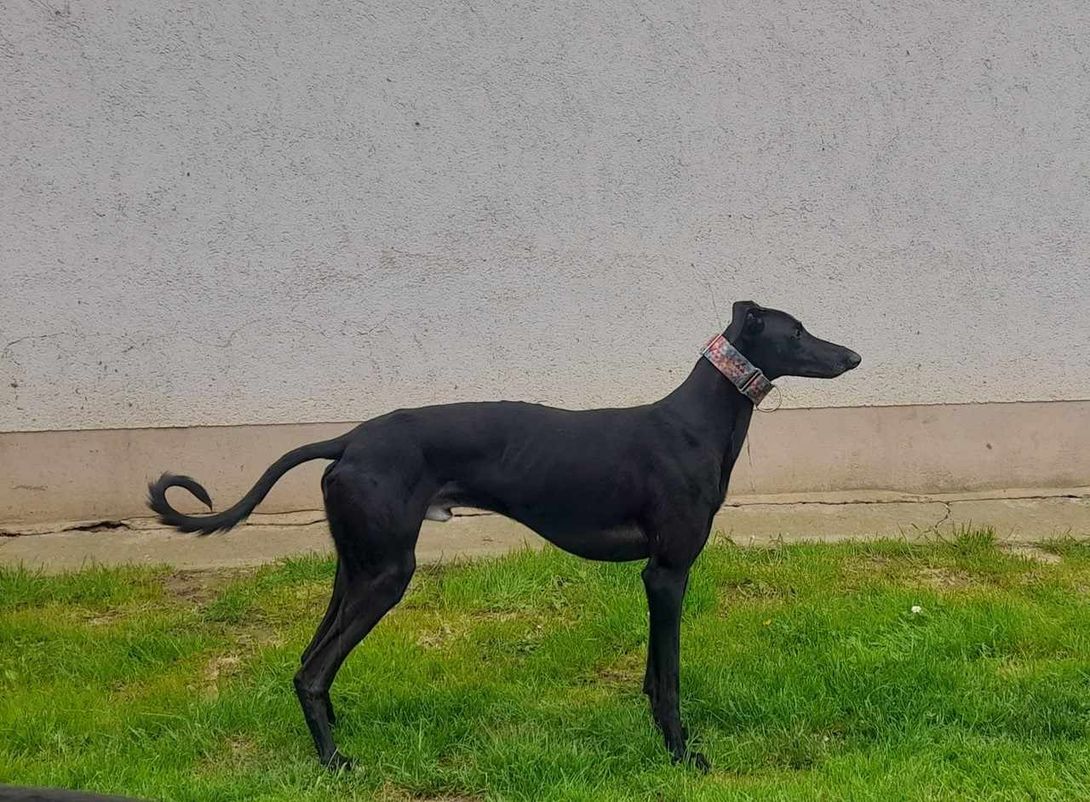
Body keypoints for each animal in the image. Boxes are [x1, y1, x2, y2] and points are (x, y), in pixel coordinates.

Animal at [148, 300, 860, 771]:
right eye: (797, 332)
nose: (854, 355)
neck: (698, 422)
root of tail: (349, 439)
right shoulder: (667, 573)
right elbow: (671, 677)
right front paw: (683, 754)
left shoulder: (656, 577)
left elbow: (654, 672)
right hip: (386, 575)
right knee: (313, 670)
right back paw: (336, 763)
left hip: (355, 568)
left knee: (308, 660)